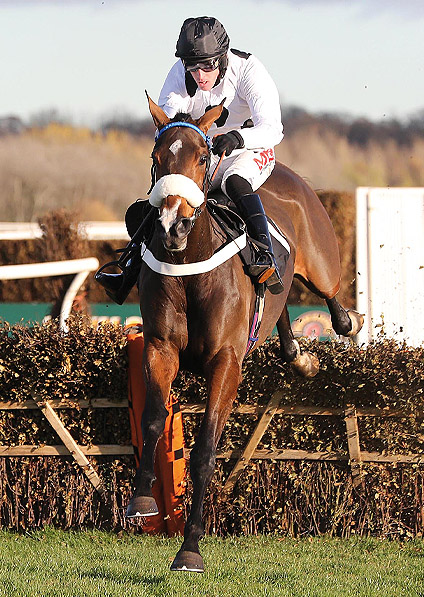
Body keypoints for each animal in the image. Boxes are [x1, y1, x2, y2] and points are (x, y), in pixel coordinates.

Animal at [126, 95, 362, 572]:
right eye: (157, 158)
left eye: (202, 156)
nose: (173, 227)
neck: (190, 265)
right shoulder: (160, 349)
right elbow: (154, 417)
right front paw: (141, 499)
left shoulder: (226, 363)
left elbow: (204, 453)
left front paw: (190, 547)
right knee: (280, 301)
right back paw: (298, 355)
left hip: (322, 263)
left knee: (330, 294)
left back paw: (344, 324)